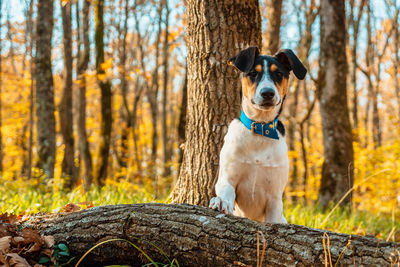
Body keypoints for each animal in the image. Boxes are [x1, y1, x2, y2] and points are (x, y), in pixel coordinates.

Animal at [209, 46, 306, 224]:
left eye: (278, 73)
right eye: (253, 73)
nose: (267, 93)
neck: (260, 129)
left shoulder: (275, 197)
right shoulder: (228, 178)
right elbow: (225, 192)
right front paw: (221, 202)